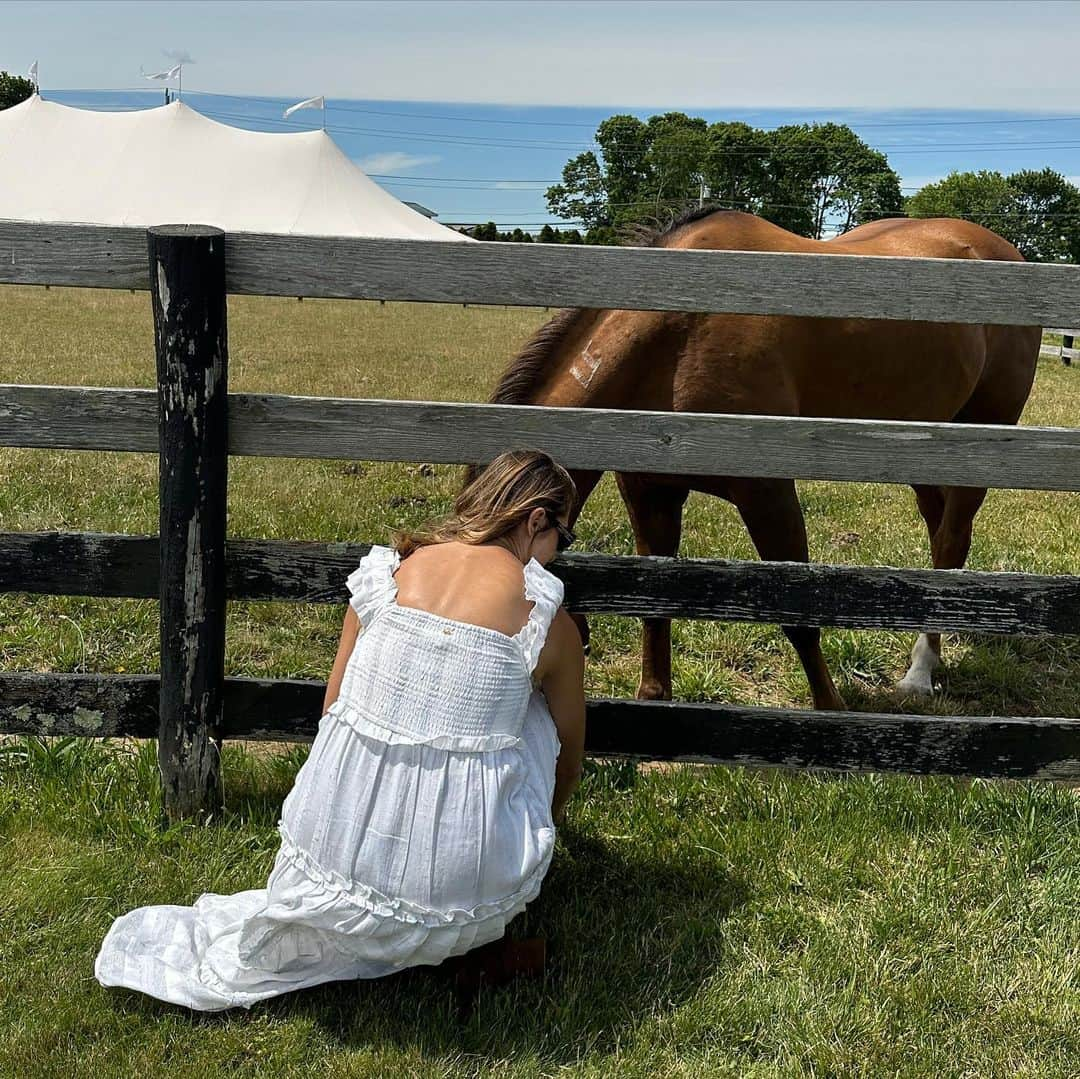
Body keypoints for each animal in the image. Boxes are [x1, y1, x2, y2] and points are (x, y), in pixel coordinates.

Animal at [462, 209, 1036, 712]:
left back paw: (920, 669)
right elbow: (652, 600)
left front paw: (831, 711)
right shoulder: (649, 492)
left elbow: (798, 613)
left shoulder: (767, 491)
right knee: (942, 538)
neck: (675, 335)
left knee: (950, 539)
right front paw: (654, 701)